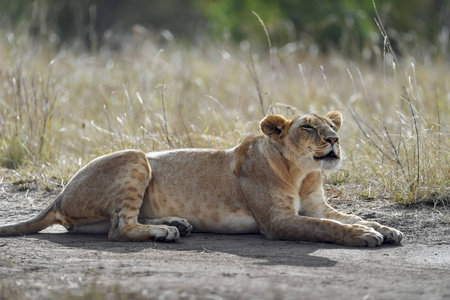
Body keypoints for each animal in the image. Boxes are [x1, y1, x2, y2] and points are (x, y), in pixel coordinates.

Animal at [0, 111, 404, 247]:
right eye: (307, 126)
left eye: (333, 126)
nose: (334, 139)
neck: (304, 173)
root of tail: (57, 196)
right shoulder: (277, 221)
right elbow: (327, 227)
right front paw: (364, 235)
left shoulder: (318, 205)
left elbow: (347, 217)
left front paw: (384, 228)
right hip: (135, 157)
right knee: (119, 229)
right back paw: (166, 232)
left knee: (116, 223)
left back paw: (175, 222)